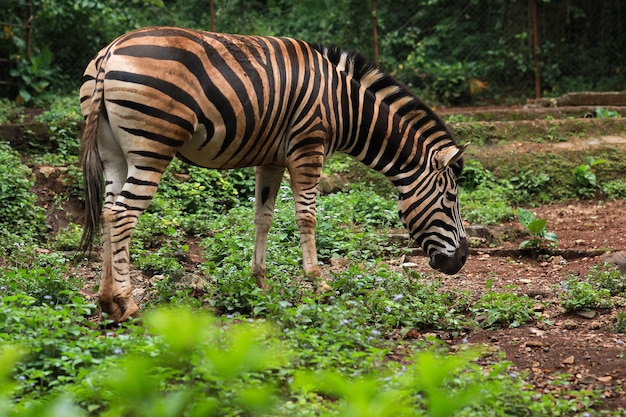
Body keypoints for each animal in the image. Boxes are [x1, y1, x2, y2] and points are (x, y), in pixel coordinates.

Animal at [79, 26, 468, 322]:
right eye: (451, 198)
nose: (462, 260)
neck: (345, 107)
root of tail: (110, 52)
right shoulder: (308, 147)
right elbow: (307, 216)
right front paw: (318, 283)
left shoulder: (272, 159)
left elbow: (262, 217)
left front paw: (260, 283)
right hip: (152, 147)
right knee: (124, 214)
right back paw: (128, 303)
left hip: (114, 154)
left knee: (108, 212)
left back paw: (106, 300)